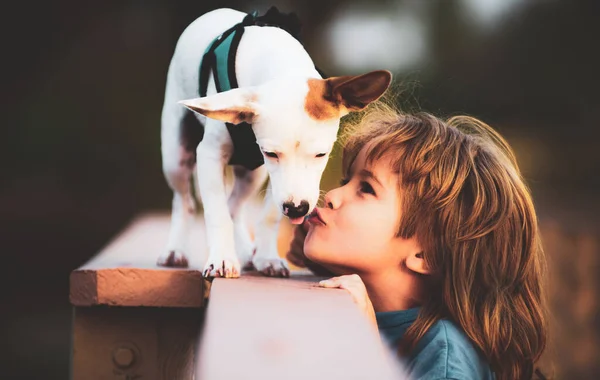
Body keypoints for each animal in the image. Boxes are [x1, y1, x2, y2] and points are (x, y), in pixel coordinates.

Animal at [159, 6, 392, 280]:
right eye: (270, 153)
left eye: (321, 155)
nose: (297, 209)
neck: (281, 63)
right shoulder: (210, 154)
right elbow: (216, 213)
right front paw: (222, 259)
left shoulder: (270, 175)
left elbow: (268, 215)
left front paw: (267, 257)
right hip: (176, 157)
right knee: (184, 201)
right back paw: (174, 250)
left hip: (252, 173)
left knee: (234, 205)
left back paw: (247, 252)